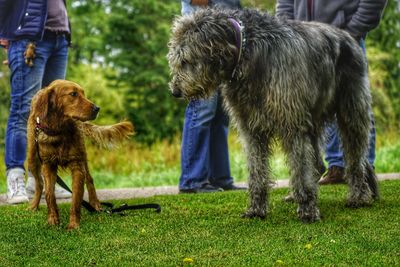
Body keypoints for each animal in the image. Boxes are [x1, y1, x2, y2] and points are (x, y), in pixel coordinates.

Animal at [28, 80, 134, 230]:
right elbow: (49, 194)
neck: (60, 131)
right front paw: (53, 220)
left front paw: (73, 224)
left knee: (90, 179)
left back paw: (95, 204)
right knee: (40, 184)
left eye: (84, 93)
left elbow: (76, 198)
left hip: (83, 156)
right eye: (73, 94)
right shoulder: (48, 165)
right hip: (32, 158)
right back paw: (34, 205)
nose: (97, 108)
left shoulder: (77, 166)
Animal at [167, 7, 380, 223]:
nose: (175, 91)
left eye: (186, 60)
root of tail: (347, 36)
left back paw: (358, 196)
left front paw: (308, 210)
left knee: (355, 158)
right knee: (318, 164)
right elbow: (257, 171)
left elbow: (301, 169)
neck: (247, 52)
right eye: (176, 61)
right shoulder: (251, 129)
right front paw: (256, 209)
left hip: (351, 110)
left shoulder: (292, 123)